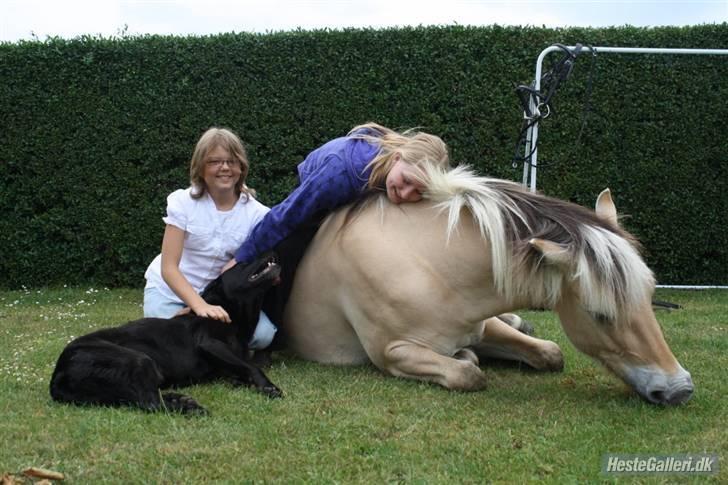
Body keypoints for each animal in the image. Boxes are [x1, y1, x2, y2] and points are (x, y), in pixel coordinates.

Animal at [50, 251, 282, 414]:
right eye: (242, 264)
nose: (271, 250)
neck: (232, 312)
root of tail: (58, 374)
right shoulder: (210, 344)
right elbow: (252, 367)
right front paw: (268, 387)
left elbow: (240, 371)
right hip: (137, 359)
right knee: (150, 403)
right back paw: (188, 407)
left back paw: (180, 399)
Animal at [282, 166, 692, 404]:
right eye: (600, 314)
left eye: (650, 298)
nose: (679, 388)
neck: (427, 263)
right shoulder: (392, 353)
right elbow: (469, 373)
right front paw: (467, 358)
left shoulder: (481, 323)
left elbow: (550, 353)